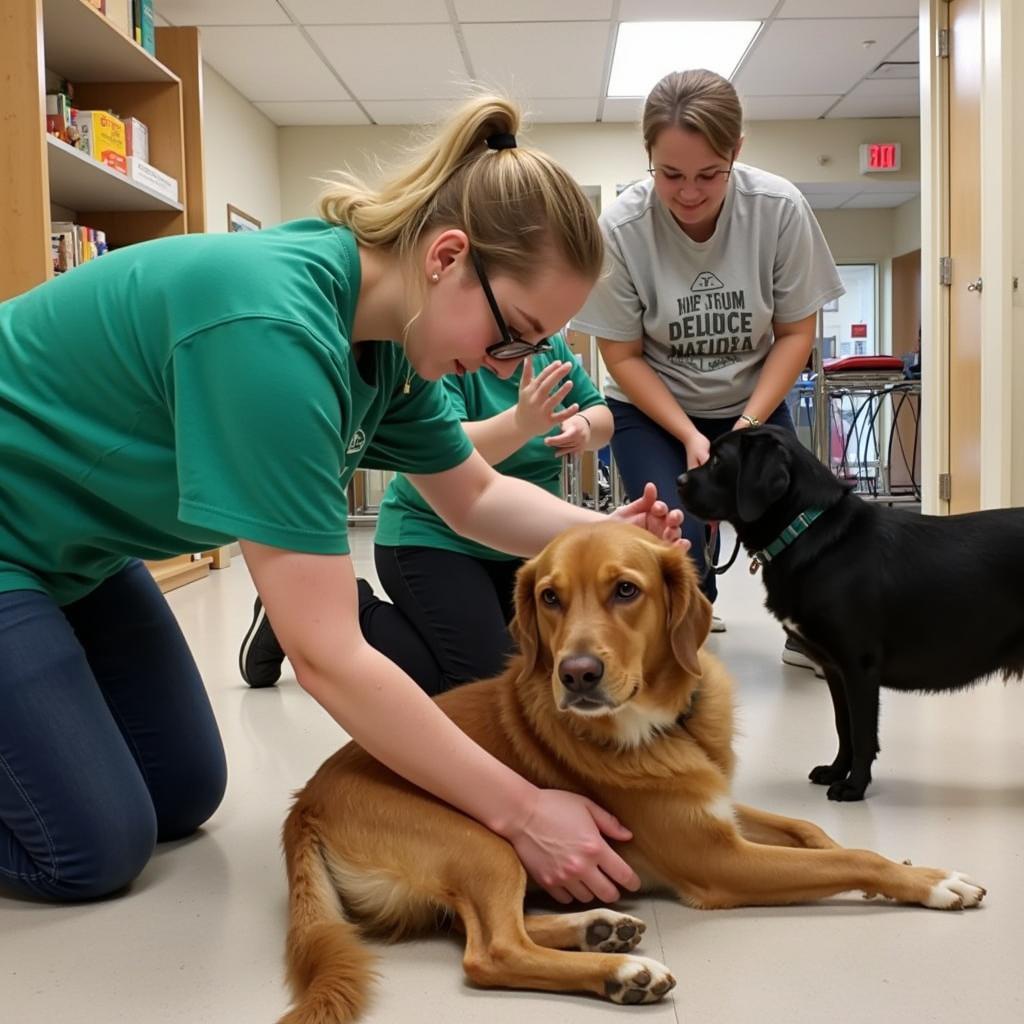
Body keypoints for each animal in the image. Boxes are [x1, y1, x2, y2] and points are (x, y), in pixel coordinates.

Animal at [278, 524, 983, 1019]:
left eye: (626, 590)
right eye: (550, 598)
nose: (576, 674)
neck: (670, 724)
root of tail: (304, 802)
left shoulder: (719, 807)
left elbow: (817, 835)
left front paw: (899, 865)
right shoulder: (721, 860)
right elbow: (849, 857)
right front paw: (930, 881)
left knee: (483, 927)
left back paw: (600, 927)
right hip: (480, 842)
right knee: (491, 951)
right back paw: (622, 973)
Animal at [679, 423, 1024, 798]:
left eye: (717, 460)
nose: (679, 479)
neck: (806, 529)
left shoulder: (859, 666)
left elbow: (861, 733)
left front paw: (854, 787)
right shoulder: (835, 669)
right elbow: (843, 727)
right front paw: (835, 771)